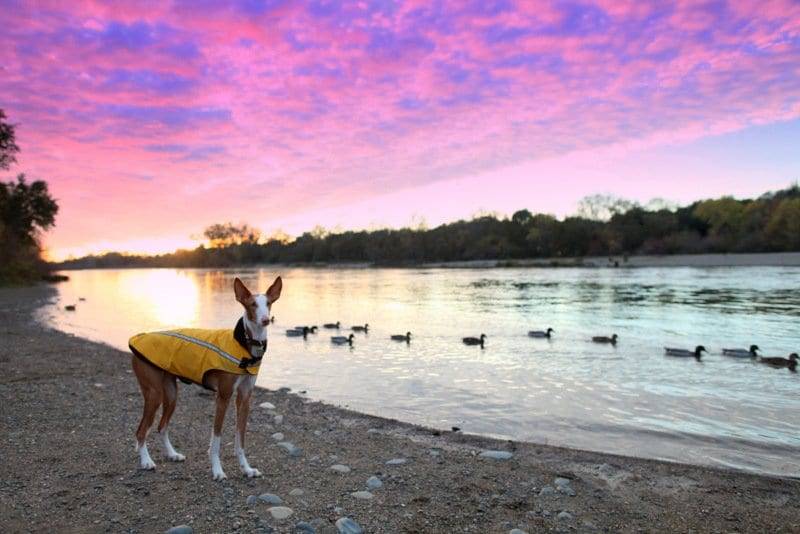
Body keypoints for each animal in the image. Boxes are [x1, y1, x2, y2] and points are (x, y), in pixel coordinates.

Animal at [130, 276, 282, 482]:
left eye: (269, 303)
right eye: (252, 305)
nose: (266, 320)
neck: (244, 344)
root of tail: (139, 336)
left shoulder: (244, 399)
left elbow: (240, 440)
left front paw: (247, 469)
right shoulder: (223, 397)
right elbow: (216, 439)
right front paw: (217, 471)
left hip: (171, 395)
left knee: (162, 426)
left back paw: (172, 454)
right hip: (154, 394)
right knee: (141, 431)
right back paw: (146, 461)